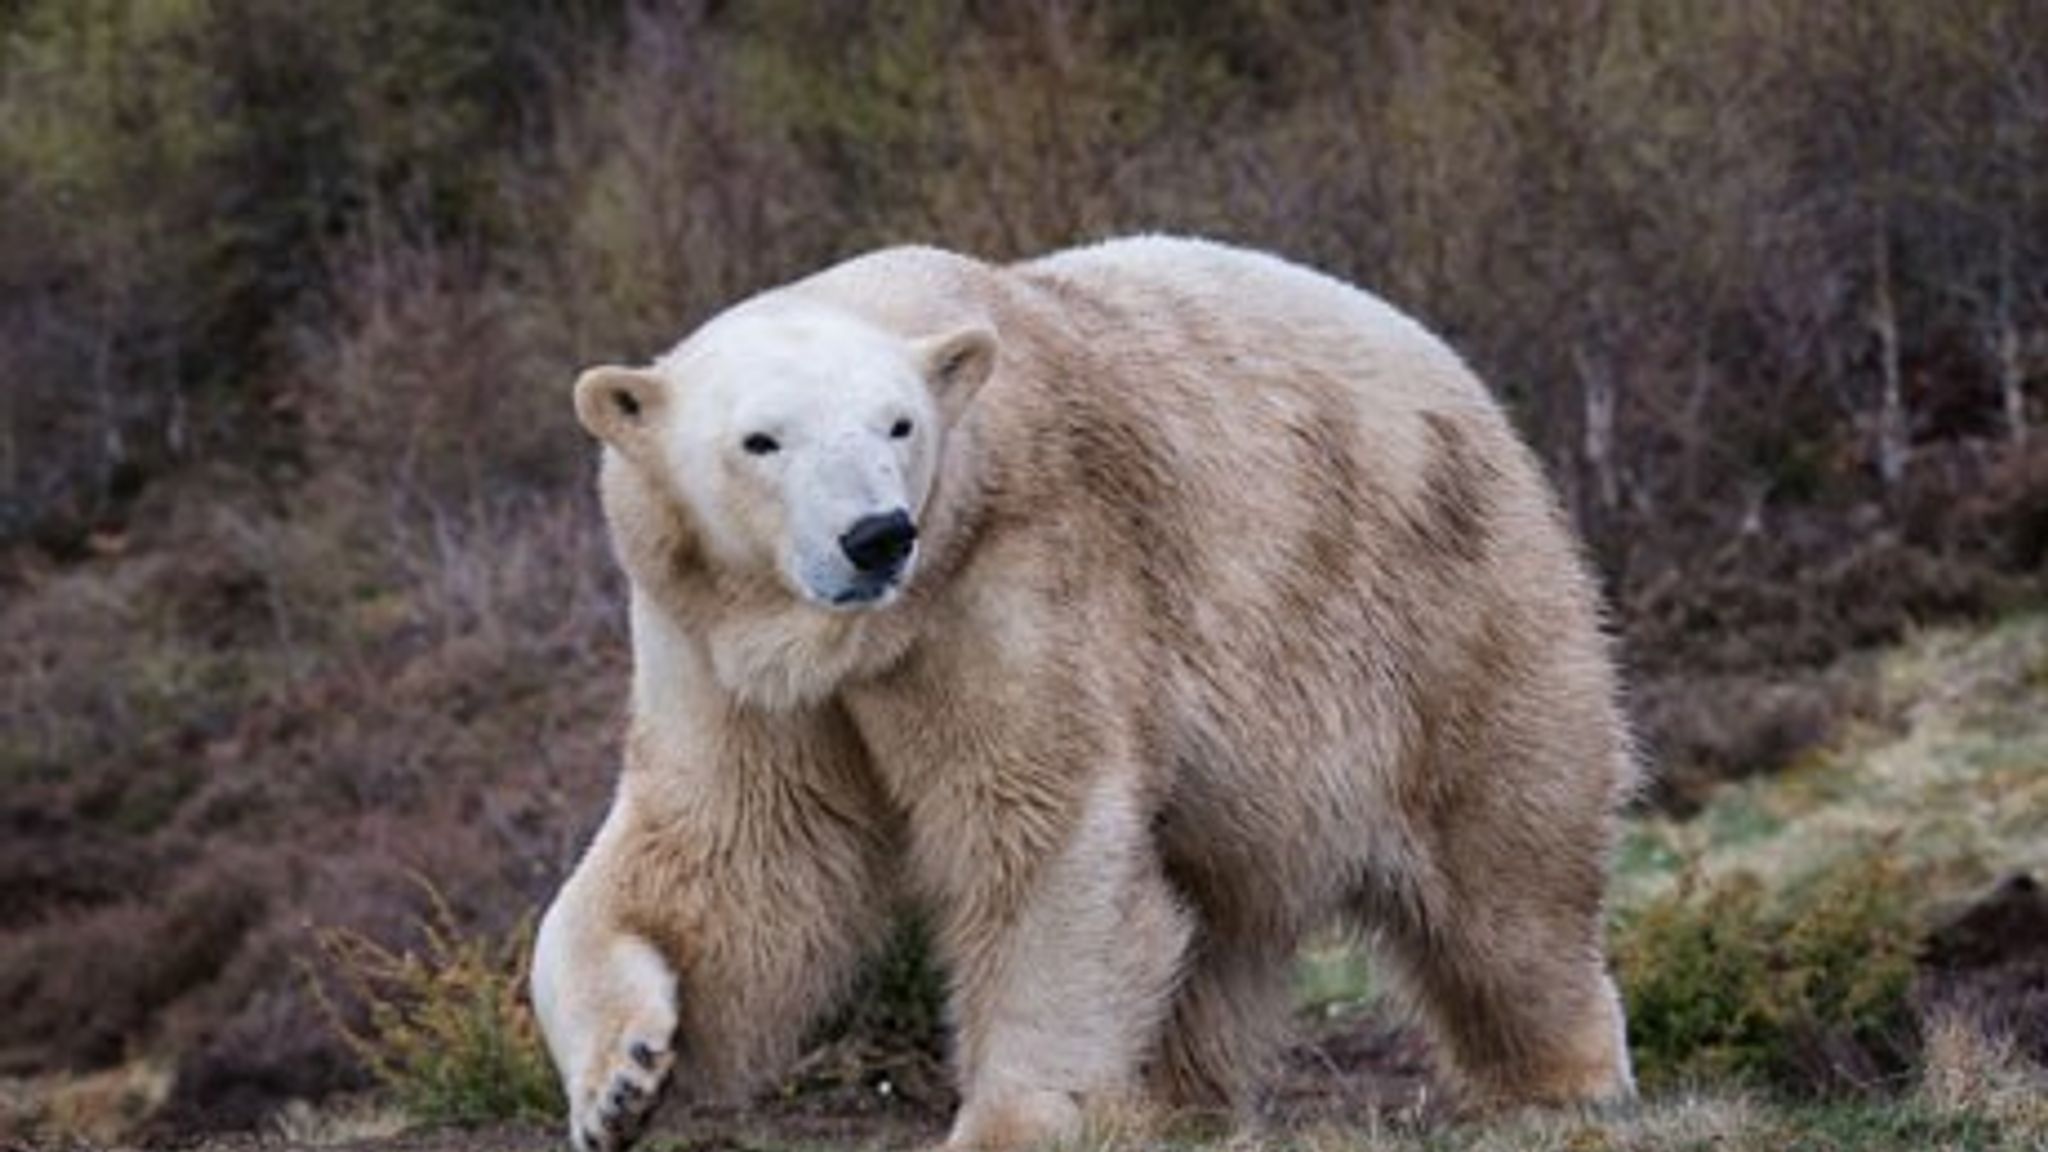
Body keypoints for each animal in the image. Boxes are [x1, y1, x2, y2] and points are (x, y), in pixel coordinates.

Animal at [536, 235, 1638, 1147]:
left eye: (898, 425)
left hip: (1443, 611)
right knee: (1211, 911)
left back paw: (1558, 1082)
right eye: (762, 440)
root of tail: (1464, 381)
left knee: (1503, 877)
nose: (877, 536)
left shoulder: (1012, 575)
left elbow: (1041, 826)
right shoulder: (718, 644)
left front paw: (1011, 1122)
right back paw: (1171, 1103)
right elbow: (734, 851)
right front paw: (621, 1080)